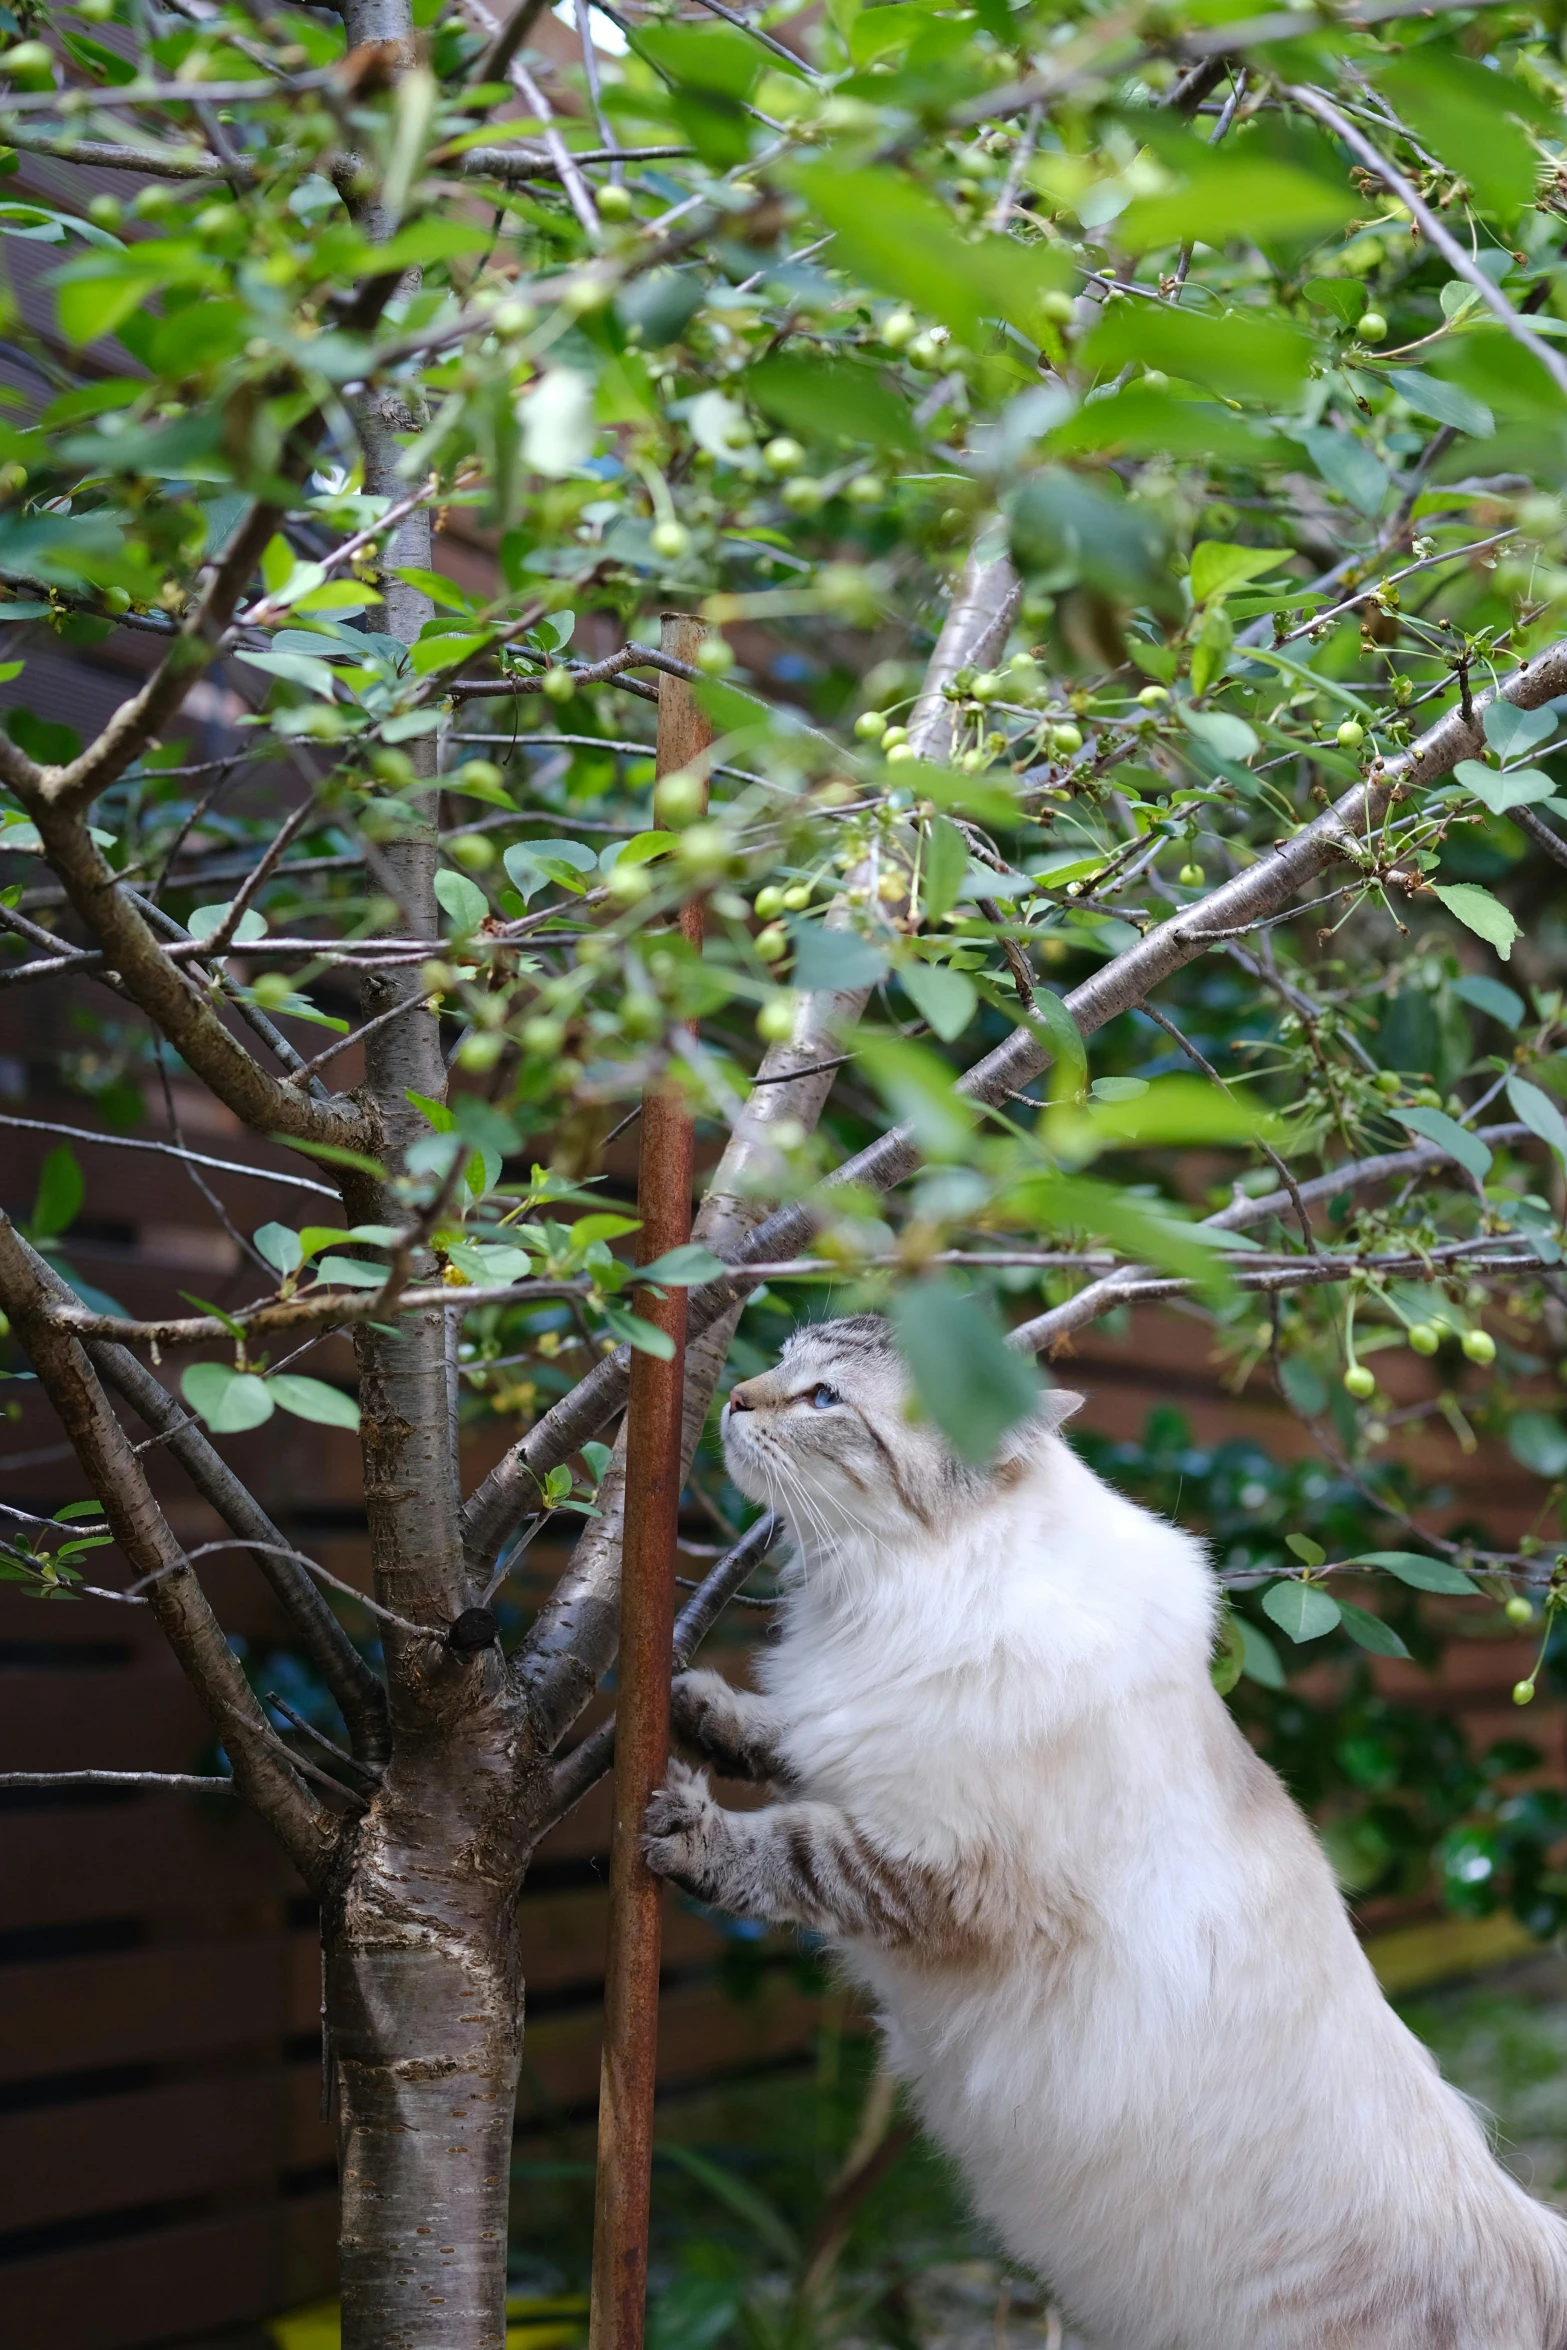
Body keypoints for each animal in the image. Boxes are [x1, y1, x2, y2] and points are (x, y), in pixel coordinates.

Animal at [643, 1316, 1567, 2340]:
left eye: (822, 1400)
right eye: (784, 1364)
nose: (734, 1398)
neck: (903, 1581)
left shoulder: (939, 1869)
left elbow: (791, 1852)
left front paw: (686, 1826)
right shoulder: (858, 1740)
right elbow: (782, 1735)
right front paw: (693, 1704)